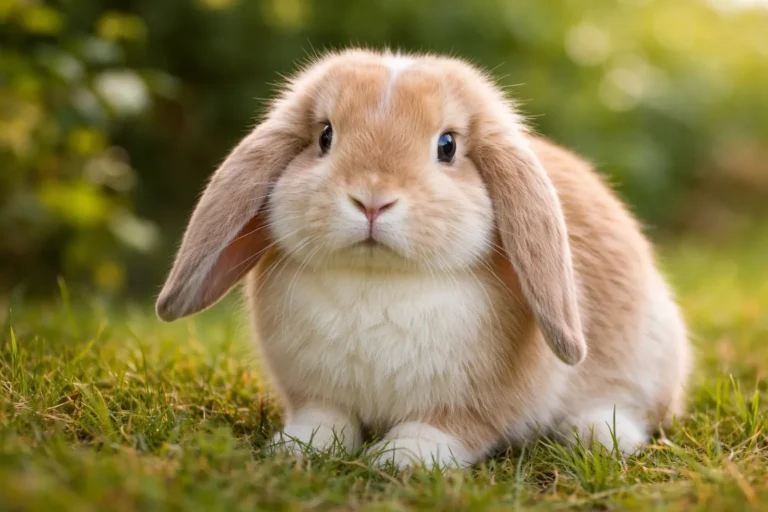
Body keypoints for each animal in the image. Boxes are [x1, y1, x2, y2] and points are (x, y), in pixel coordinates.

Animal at [155, 48, 691, 470]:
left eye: (447, 146)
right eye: (325, 136)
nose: (372, 200)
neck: (377, 282)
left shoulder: (475, 405)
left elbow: (444, 429)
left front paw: (399, 458)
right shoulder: (316, 393)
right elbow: (325, 419)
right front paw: (299, 448)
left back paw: (599, 434)